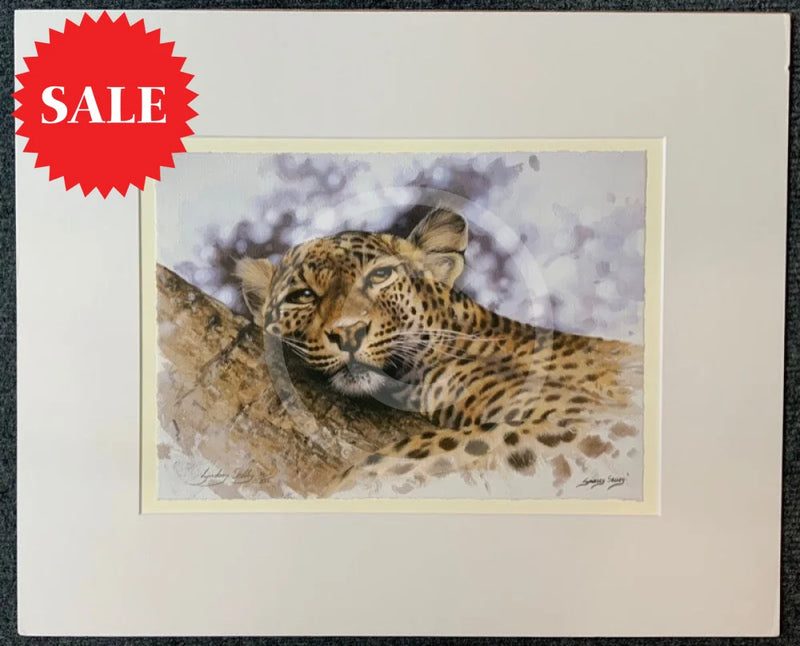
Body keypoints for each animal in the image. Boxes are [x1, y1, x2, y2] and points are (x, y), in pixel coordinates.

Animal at [236, 207, 643, 497]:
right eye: (303, 295)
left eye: (379, 276)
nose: (348, 332)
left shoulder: (593, 416)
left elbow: (410, 452)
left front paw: (341, 488)